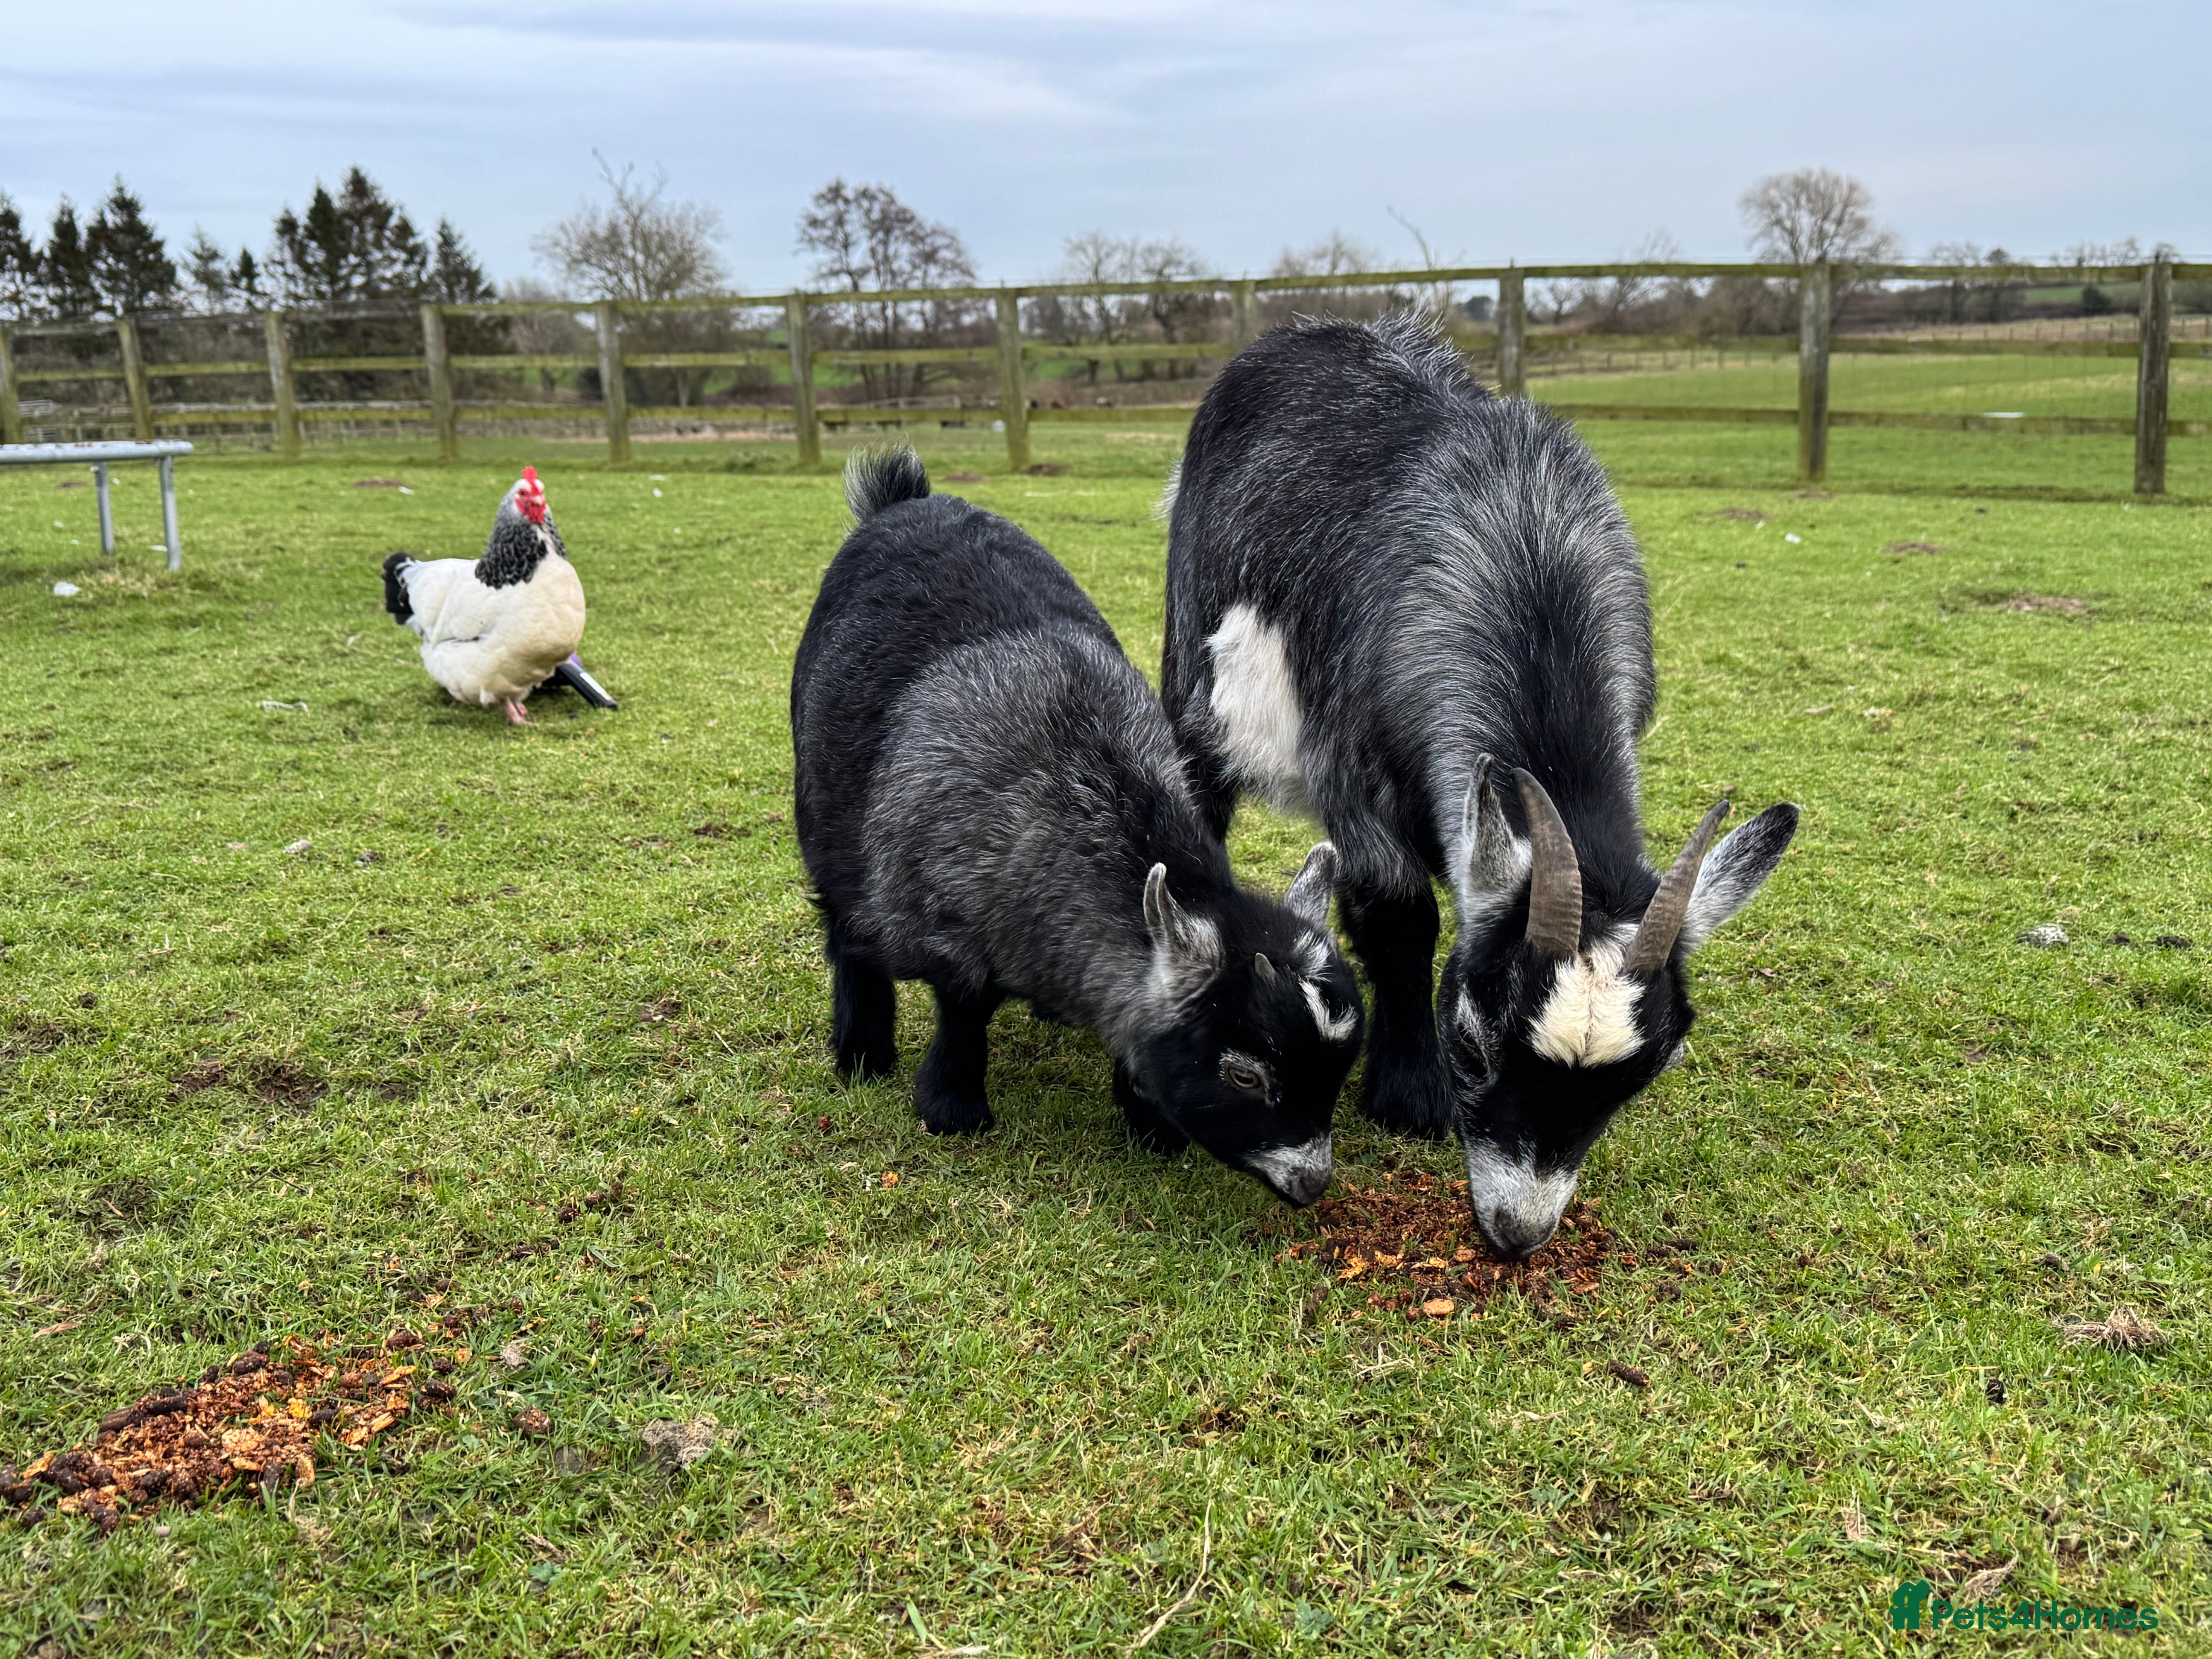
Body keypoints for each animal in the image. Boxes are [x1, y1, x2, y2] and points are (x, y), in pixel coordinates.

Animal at [792, 447, 1365, 1205]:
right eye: (1244, 1075)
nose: (1311, 1182)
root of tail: (904, 501)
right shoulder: (948, 927)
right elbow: (961, 1012)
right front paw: (952, 1108)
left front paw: (1148, 1122)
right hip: (823, 811)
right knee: (845, 928)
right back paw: (862, 1053)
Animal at [1161, 316, 1798, 1256]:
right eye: (1471, 1043)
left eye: (1646, 1074)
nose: (1517, 1231)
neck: (1528, 562)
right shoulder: (1353, 774)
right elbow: (1399, 917)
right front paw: (1407, 1090)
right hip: (1191, 666)